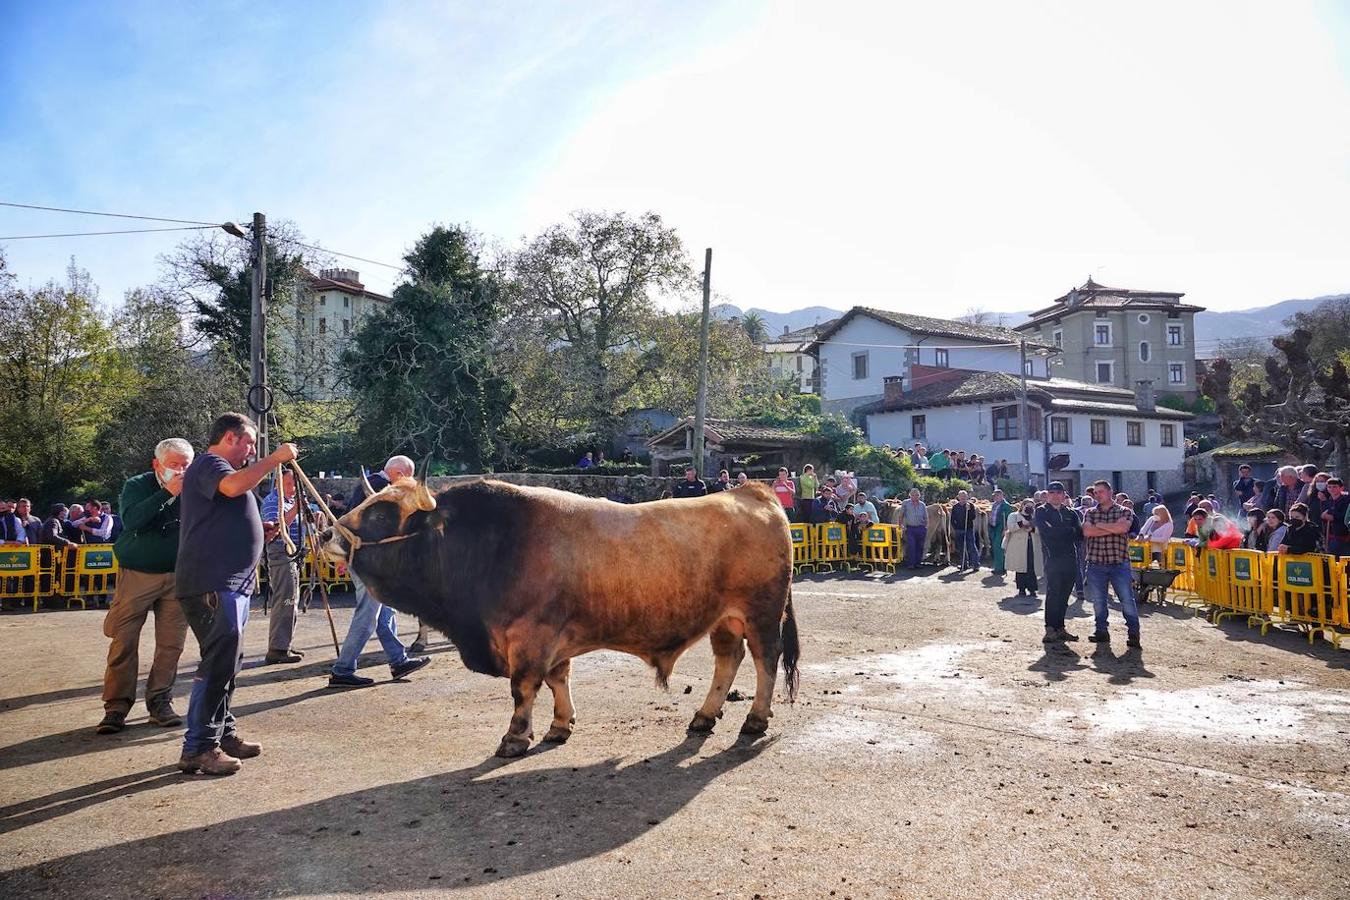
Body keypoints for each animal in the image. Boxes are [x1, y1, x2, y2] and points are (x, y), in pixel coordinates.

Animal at [325, 477, 799, 761]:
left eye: (381, 512)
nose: (328, 532)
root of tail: (750, 492)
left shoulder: (529, 637)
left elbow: (523, 689)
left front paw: (516, 737)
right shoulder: (551, 638)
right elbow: (557, 679)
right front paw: (559, 725)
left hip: (761, 613)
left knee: (765, 660)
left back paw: (755, 719)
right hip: (724, 619)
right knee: (728, 660)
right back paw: (704, 715)